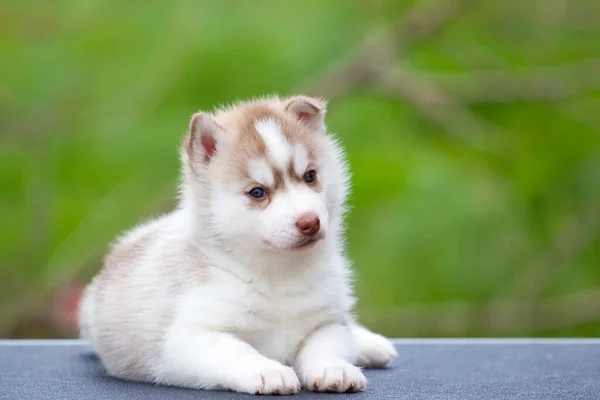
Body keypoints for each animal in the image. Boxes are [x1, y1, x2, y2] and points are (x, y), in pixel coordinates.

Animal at [79, 95, 398, 396]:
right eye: (257, 192)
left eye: (310, 176)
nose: (310, 222)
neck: (277, 274)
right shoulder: (187, 338)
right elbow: (235, 349)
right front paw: (269, 372)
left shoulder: (327, 319)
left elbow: (327, 343)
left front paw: (335, 369)